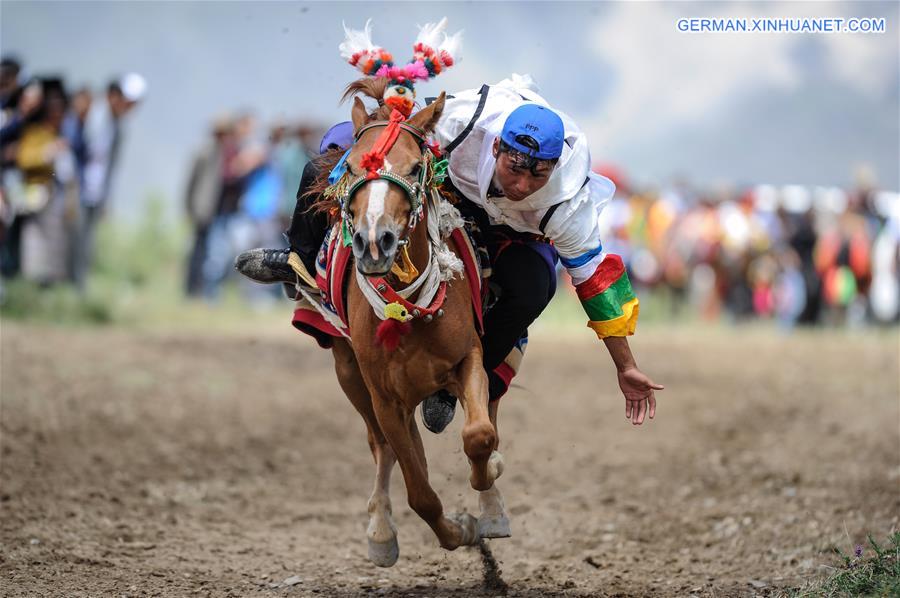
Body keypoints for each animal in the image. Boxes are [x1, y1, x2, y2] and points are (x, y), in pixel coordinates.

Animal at [318, 78, 506, 568]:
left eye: (416, 166)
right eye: (352, 167)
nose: (374, 241)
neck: (408, 313)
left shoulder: (468, 358)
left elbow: (480, 435)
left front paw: (485, 486)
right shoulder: (385, 398)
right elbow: (419, 490)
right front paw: (457, 530)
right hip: (350, 374)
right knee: (382, 447)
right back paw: (381, 529)